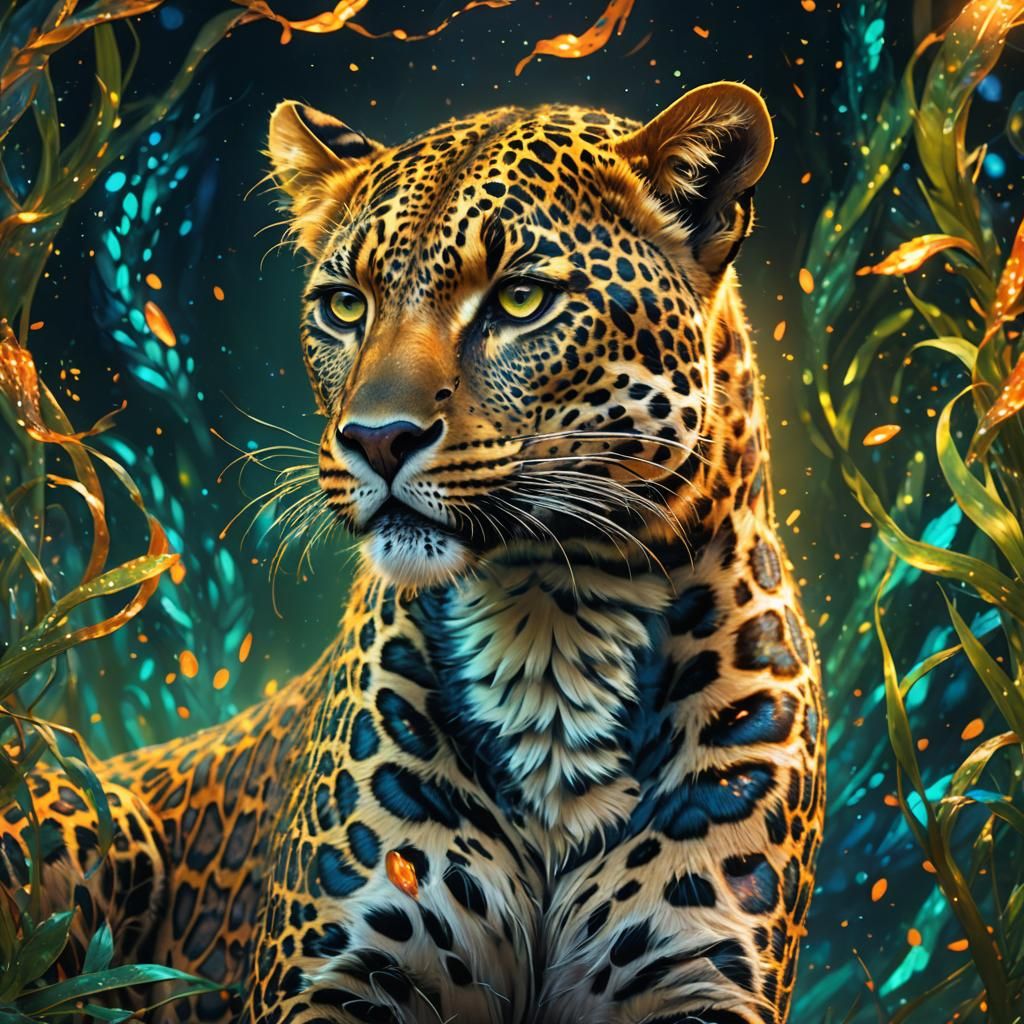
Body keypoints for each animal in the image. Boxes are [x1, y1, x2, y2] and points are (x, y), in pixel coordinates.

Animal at [0, 82, 825, 1024]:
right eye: (345, 305)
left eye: (519, 300)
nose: (377, 439)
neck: (553, 620)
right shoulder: (340, 975)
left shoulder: (696, 978)